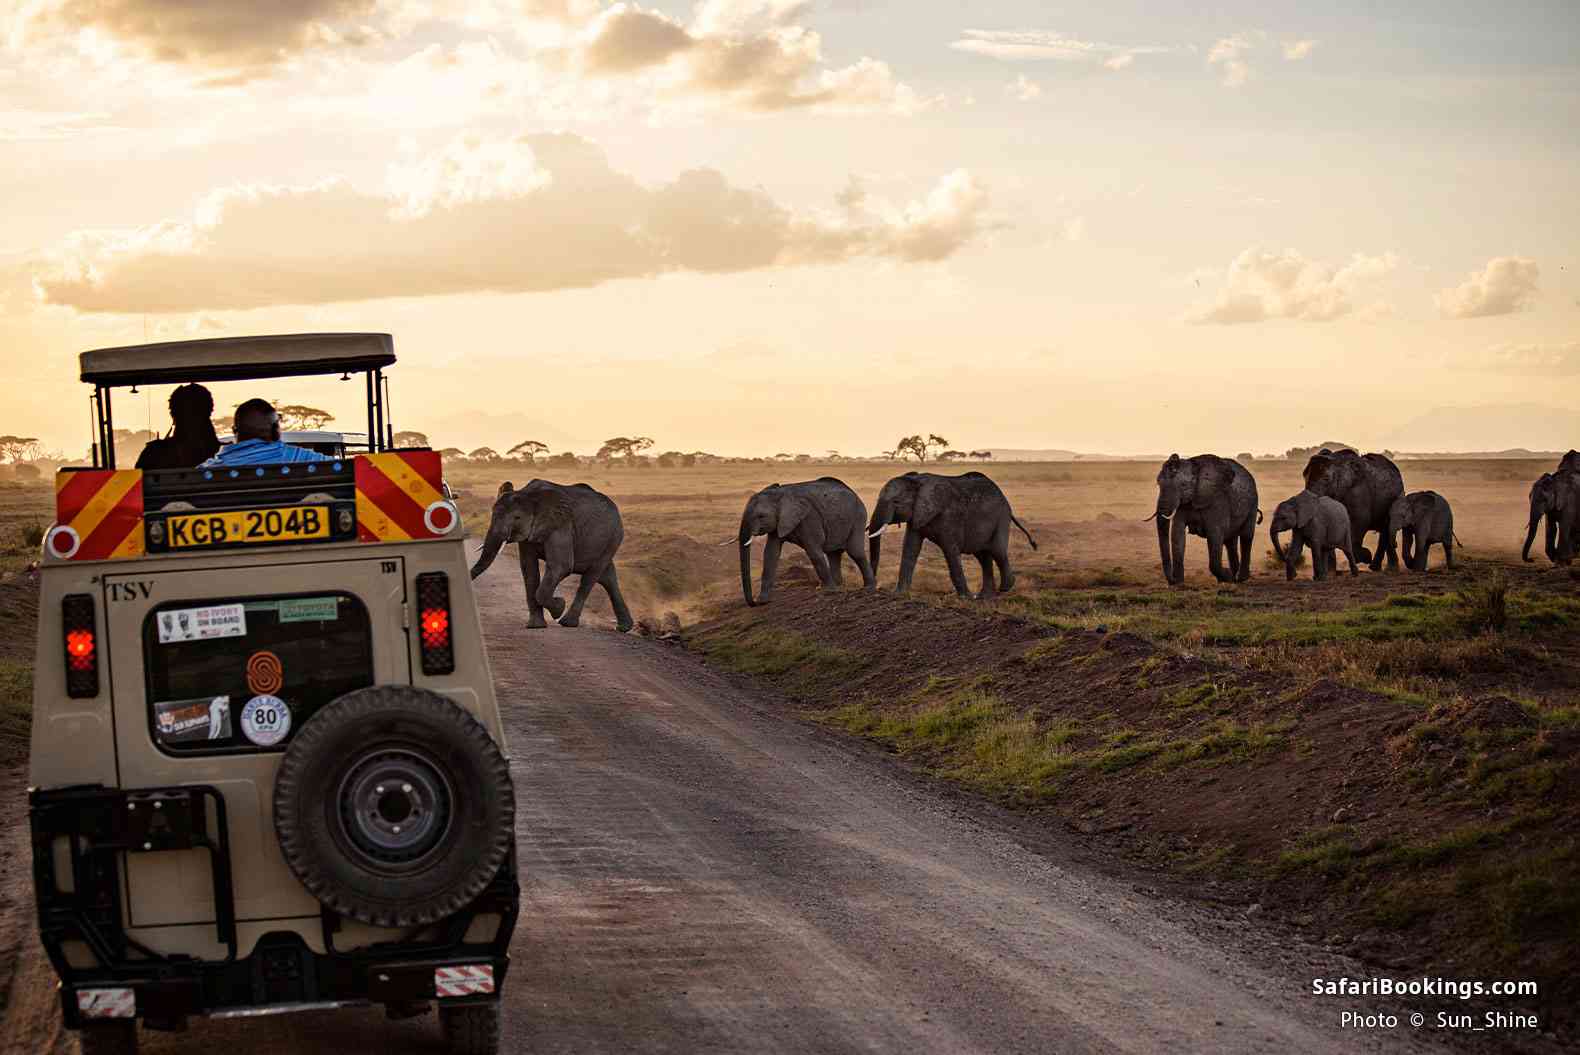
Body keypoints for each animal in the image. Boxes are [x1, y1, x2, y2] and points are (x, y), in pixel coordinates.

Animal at [470, 479, 634, 632]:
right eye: (492, 513)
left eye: (517, 518)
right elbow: (529, 569)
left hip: (613, 537)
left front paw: (559, 607)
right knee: (607, 577)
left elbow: (561, 566)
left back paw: (567, 623)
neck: (529, 494)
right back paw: (624, 627)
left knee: (590, 577)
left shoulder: (561, 525)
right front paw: (535, 626)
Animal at [734, 478, 875, 606]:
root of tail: (854, 493)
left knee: (855, 552)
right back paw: (839, 587)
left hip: (858, 517)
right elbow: (770, 554)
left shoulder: (809, 518)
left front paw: (828, 592)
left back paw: (868, 588)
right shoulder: (780, 522)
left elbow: (814, 552)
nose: (753, 603)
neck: (780, 494)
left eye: (761, 516)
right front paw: (763, 601)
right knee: (833, 554)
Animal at [864, 471, 1037, 599]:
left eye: (896, 502)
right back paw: (984, 597)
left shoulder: (950, 516)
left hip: (1001, 518)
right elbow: (910, 548)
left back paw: (1005, 588)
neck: (918, 481)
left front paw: (965, 598)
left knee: (997, 551)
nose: (875, 588)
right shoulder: (917, 515)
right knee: (983, 556)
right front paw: (899, 595)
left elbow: (950, 551)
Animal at [1147, 454, 1259, 584]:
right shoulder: (1183, 504)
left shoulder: (1217, 500)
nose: (1172, 580)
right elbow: (1177, 533)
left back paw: (1240, 578)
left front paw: (1227, 576)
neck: (1194, 466)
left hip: (1253, 503)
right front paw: (1179, 583)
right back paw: (1234, 578)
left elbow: (1215, 534)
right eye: (1158, 483)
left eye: (1183, 486)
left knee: (1246, 536)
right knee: (1230, 541)